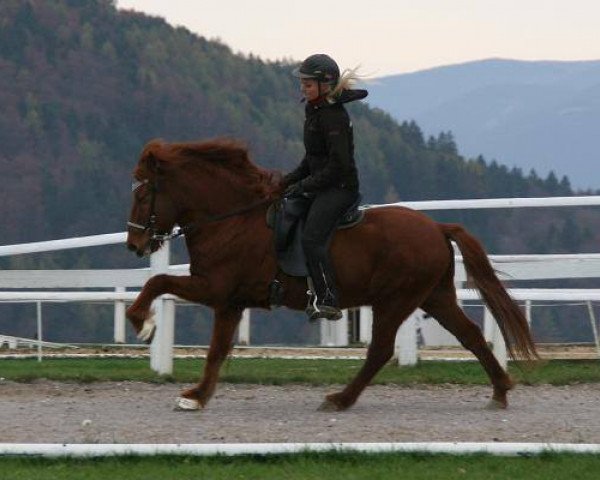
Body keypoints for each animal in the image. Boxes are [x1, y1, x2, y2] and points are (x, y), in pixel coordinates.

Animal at [126, 138, 540, 412]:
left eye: (143, 193)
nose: (135, 244)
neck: (231, 219)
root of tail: (437, 227)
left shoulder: (214, 289)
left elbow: (157, 283)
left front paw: (143, 325)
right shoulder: (230, 302)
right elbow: (216, 350)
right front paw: (197, 396)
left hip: (396, 300)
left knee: (381, 350)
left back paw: (341, 399)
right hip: (434, 297)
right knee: (470, 335)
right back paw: (500, 390)